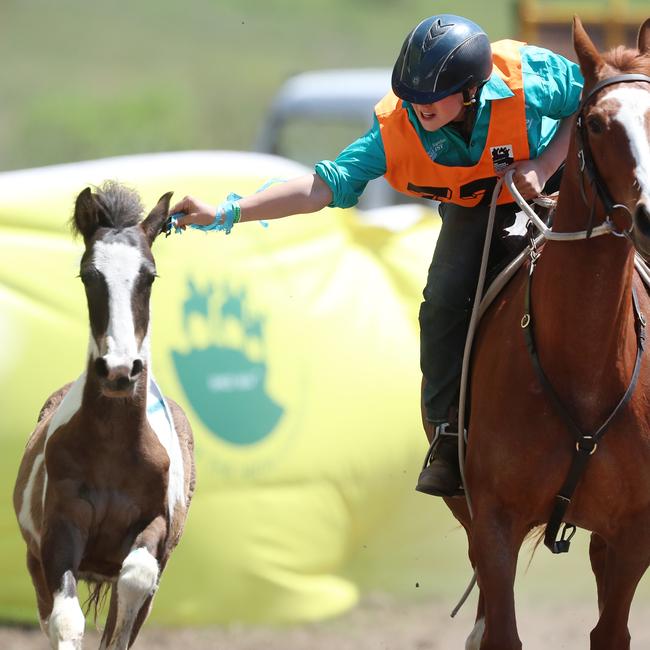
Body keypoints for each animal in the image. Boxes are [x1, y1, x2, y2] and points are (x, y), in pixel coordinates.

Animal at [13, 182, 195, 648]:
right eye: (88, 275)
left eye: (149, 276)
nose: (118, 370)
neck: (114, 449)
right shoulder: (61, 529)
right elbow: (65, 620)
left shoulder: (154, 530)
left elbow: (135, 582)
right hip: (35, 561)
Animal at [440, 15, 648, 648]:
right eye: (597, 122)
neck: (585, 368)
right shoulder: (494, 521)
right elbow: (502, 631)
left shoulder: (632, 534)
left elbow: (611, 632)